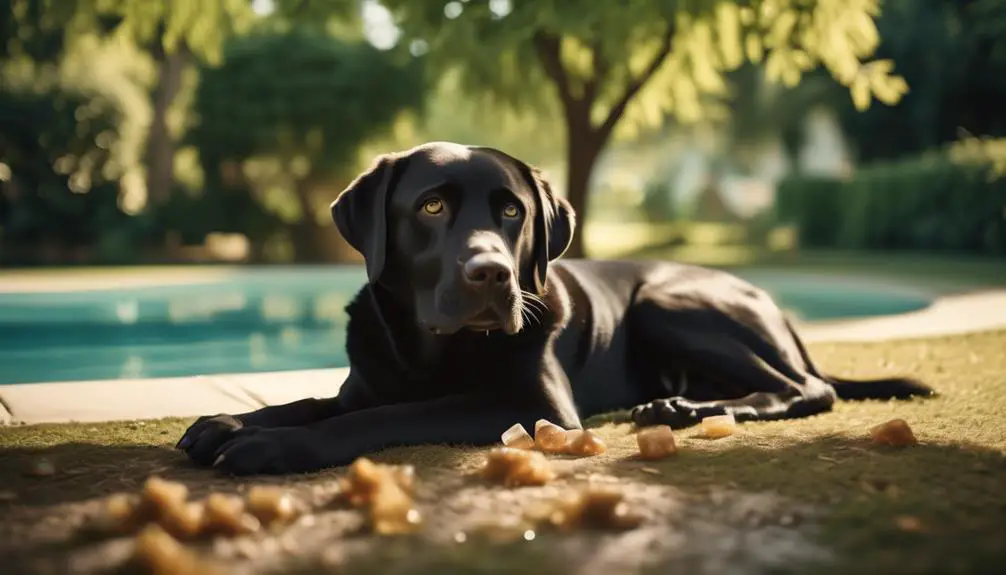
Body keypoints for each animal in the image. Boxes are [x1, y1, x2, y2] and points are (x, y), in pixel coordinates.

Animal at [175, 141, 933, 474]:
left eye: (511, 211)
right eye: (431, 206)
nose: (491, 272)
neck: (431, 348)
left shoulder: (532, 403)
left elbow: (386, 417)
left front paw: (272, 446)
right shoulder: (363, 381)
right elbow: (313, 400)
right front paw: (228, 421)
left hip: (668, 300)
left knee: (807, 388)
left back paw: (688, 410)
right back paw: (676, 407)